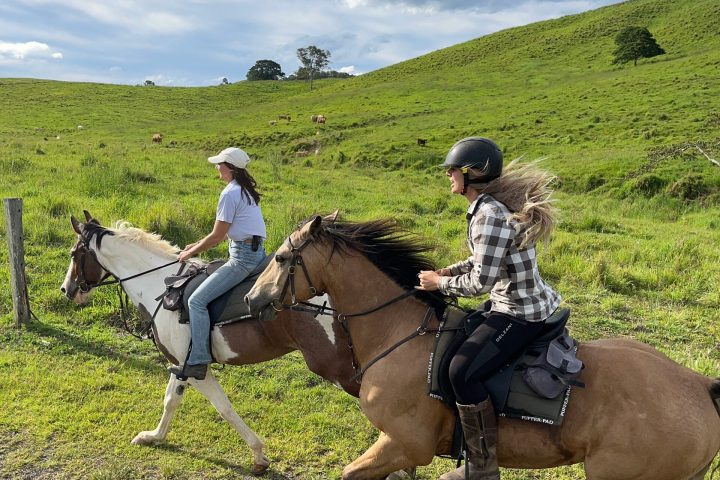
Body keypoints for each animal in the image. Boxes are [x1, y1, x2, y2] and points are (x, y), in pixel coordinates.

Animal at [61, 212, 360, 474]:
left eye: (75, 254)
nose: (67, 289)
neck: (159, 286)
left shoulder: (195, 369)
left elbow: (223, 407)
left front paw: (258, 455)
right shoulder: (180, 363)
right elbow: (171, 400)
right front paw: (154, 436)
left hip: (339, 368)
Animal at [246, 215, 720, 480]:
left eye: (283, 259)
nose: (251, 299)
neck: (399, 333)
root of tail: (699, 385)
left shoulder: (404, 443)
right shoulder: (400, 451)